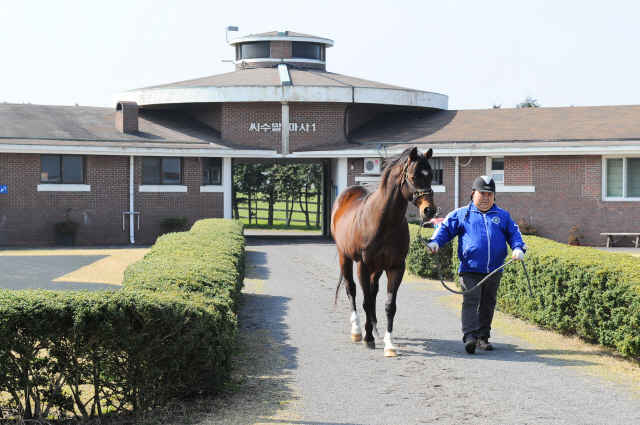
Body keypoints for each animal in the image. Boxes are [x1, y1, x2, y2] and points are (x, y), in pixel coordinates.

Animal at [332, 146, 438, 354]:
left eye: (431, 175)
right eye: (413, 176)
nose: (429, 210)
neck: (383, 221)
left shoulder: (396, 267)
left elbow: (389, 305)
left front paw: (389, 344)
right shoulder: (362, 266)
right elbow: (365, 301)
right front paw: (367, 338)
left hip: (377, 269)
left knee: (373, 293)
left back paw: (374, 329)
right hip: (344, 257)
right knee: (352, 290)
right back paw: (358, 330)